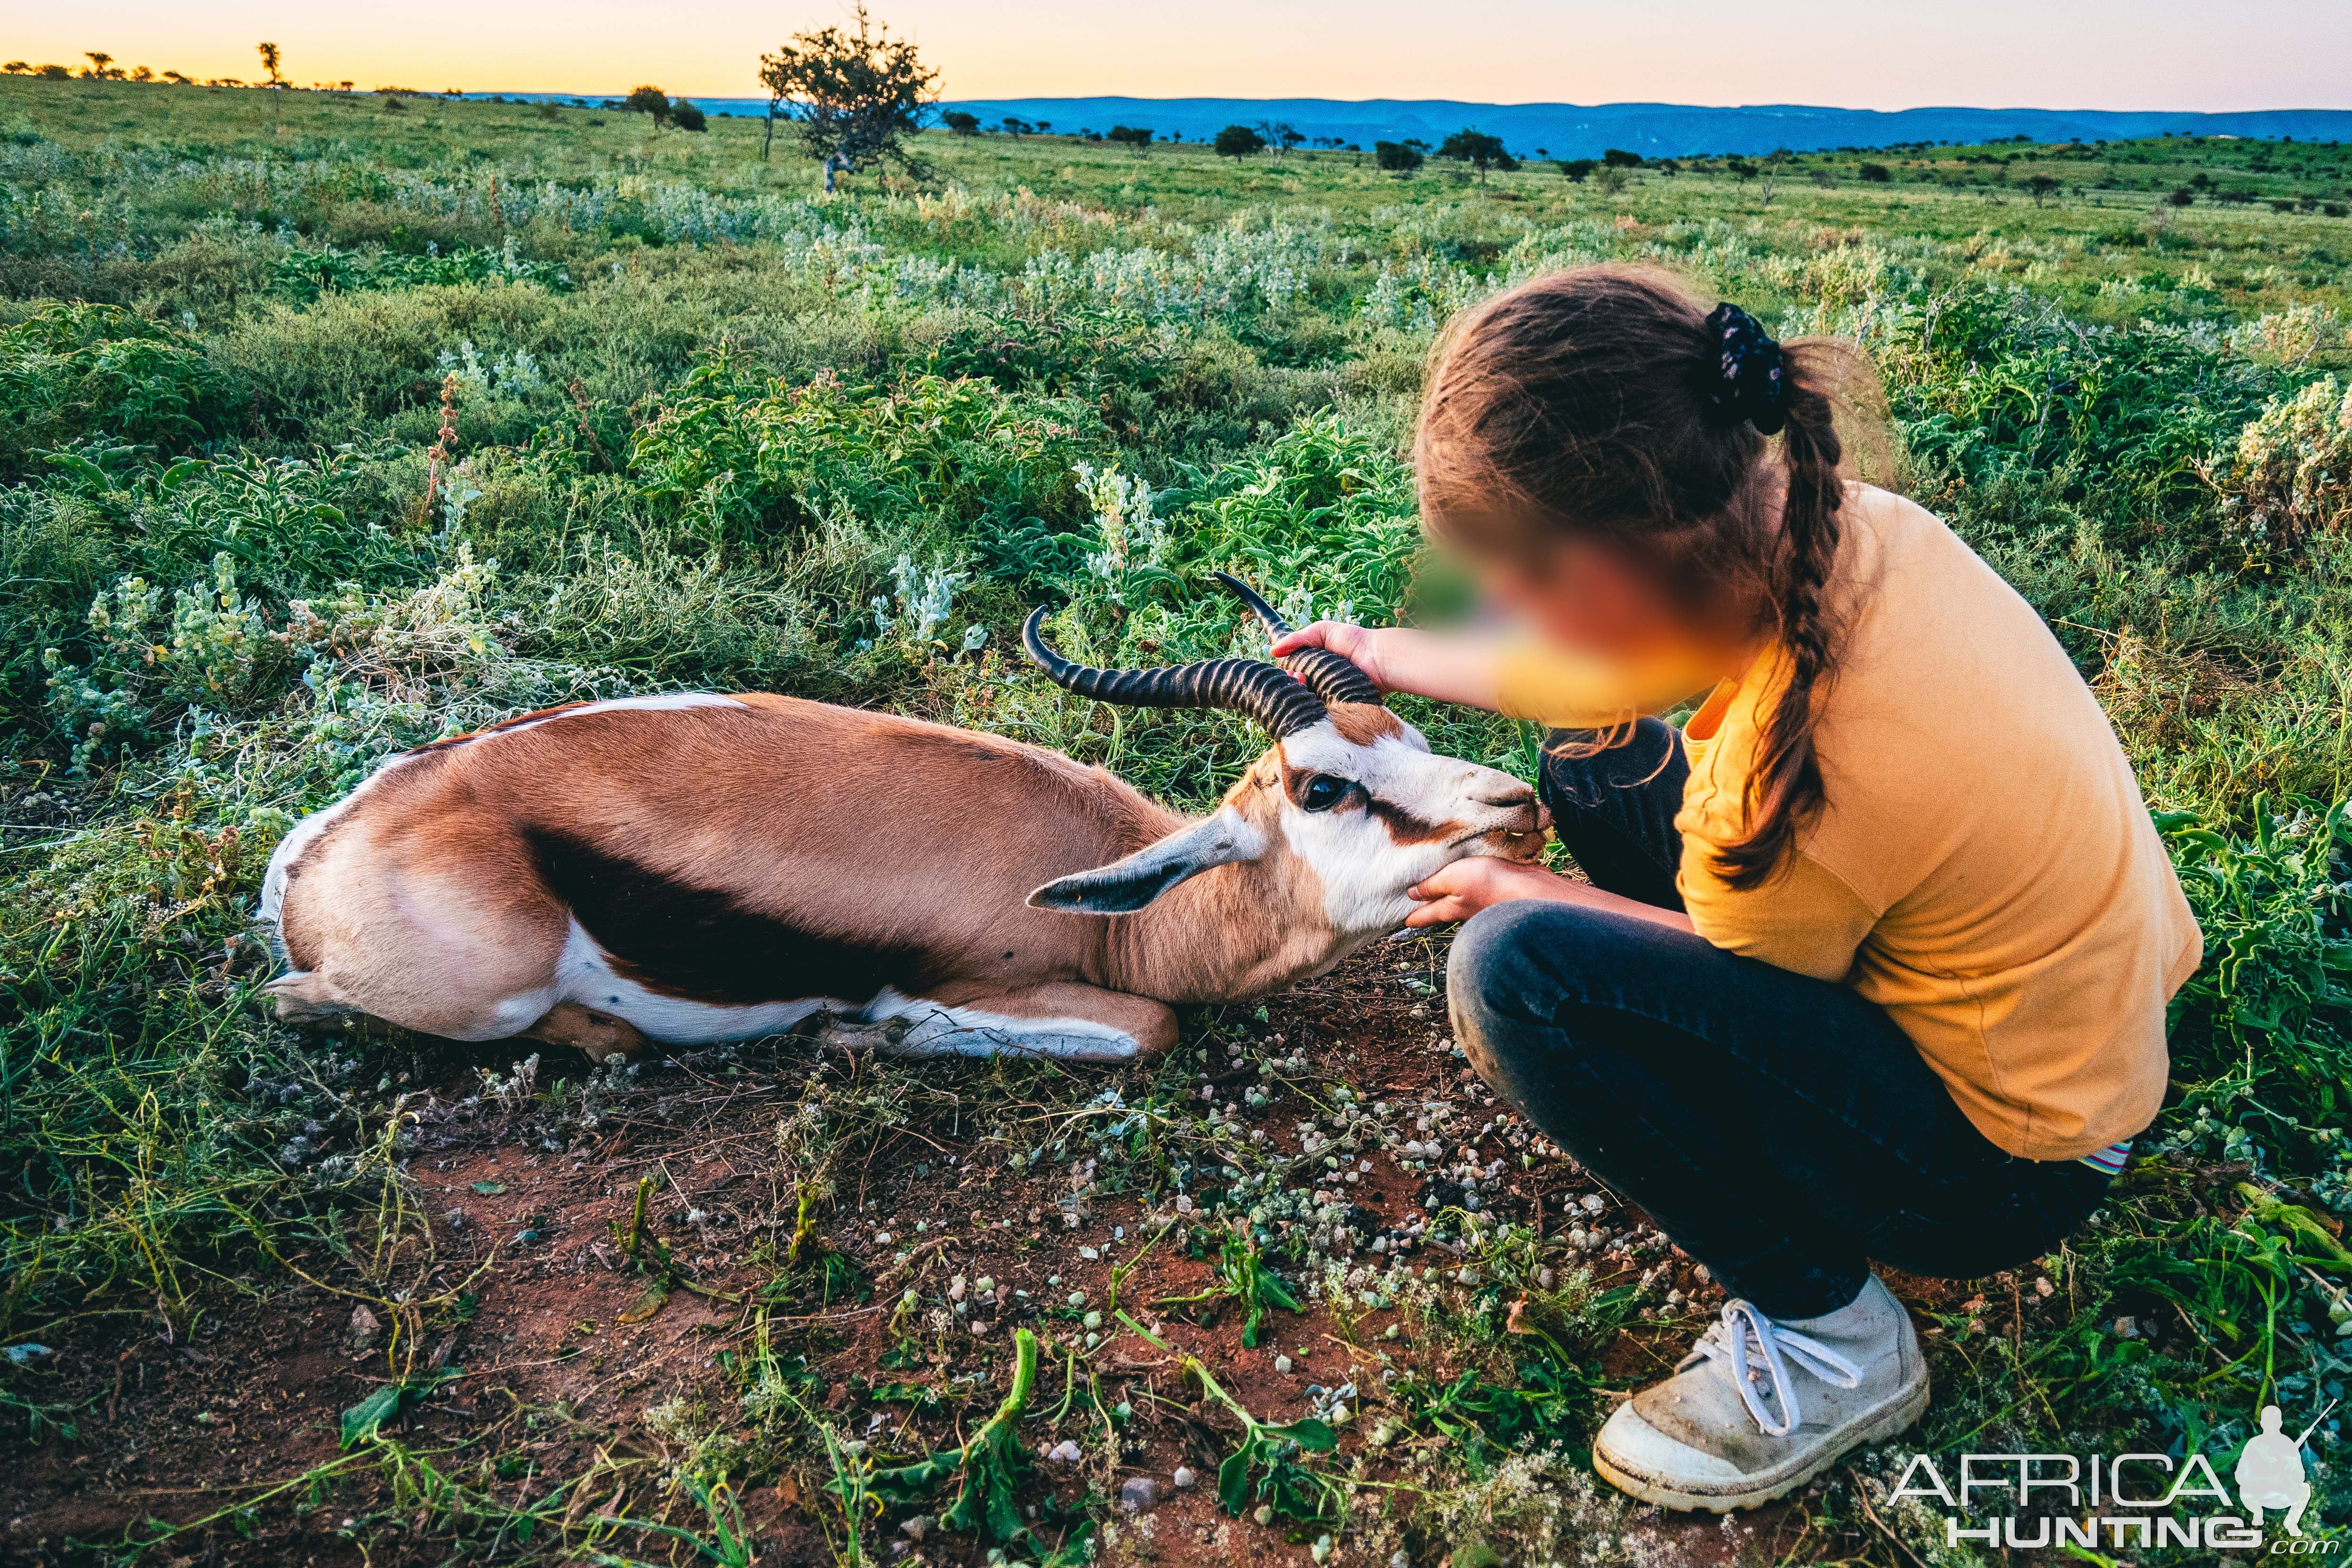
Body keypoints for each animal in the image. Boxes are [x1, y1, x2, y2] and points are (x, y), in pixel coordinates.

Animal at [262, 576, 1543, 1067]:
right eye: (1321, 786)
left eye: (1410, 736)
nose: (1517, 807)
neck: (1118, 908)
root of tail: (325, 846)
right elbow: (1149, 1029)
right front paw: (862, 1032)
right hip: (483, 990)